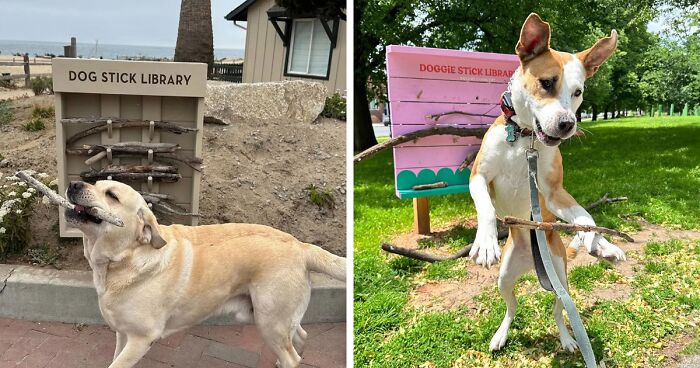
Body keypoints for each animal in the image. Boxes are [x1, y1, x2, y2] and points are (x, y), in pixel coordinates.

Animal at [65, 179, 344, 368]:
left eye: (111, 195)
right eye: (95, 183)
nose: (73, 183)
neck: (124, 259)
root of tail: (301, 246)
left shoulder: (141, 338)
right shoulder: (122, 334)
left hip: (269, 321)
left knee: (291, 356)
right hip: (274, 318)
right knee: (300, 338)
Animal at [470, 13, 624, 354]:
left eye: (578, 92)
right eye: (547, 83)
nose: (568, 124)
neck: (524, 139)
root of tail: (531, 263)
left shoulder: (554, 193)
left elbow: (586, 217)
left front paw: (598, 242)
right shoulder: (477, 177)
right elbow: (485, 207)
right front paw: (485, 241)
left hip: (561, 279)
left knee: (557, 310)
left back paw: (568, 337)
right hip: (504, 278)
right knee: (511, 307)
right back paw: (501, 334)